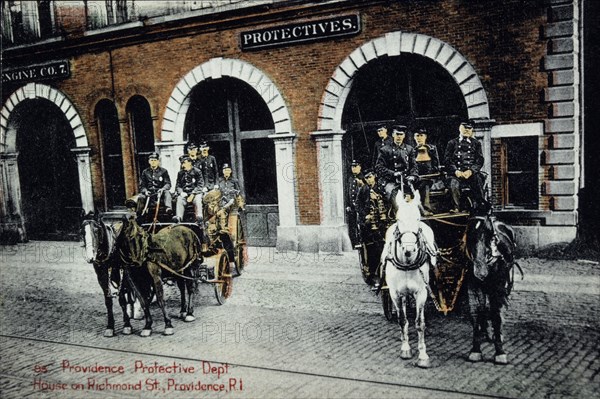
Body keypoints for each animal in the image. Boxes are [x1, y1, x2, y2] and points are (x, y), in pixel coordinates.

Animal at [382, 190, 438, 368]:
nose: (408, 249)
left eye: (418, 218)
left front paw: (423, 356)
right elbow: (402, 320)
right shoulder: (394, 293)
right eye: (398, 219)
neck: (407, 263)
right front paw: (405, 348)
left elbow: (419, 323)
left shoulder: (421, 293)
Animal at [464, 216, 520, 366]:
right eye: (469, 235)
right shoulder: (473, 287)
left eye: (489, 234)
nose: (479, 272)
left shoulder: (496, 288)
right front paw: (475, 349)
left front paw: (500, 352)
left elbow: (495, 315)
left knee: (499, 309)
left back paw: (496, 333)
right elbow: (477, 313)